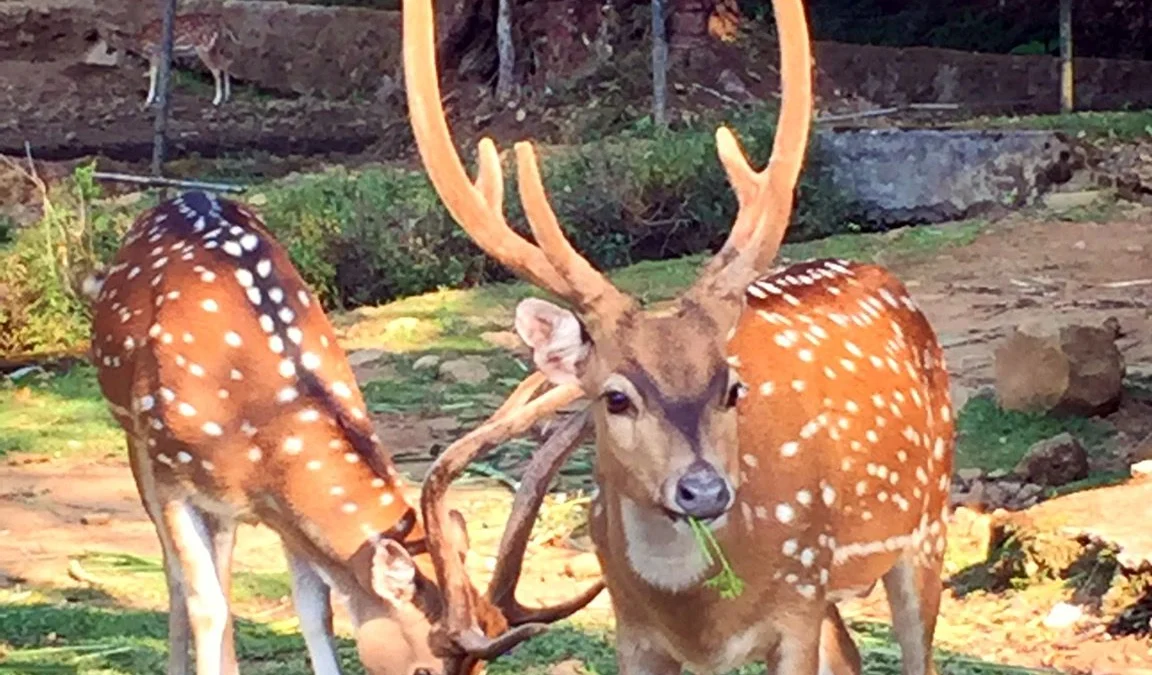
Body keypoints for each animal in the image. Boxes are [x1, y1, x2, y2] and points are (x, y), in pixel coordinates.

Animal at [83, 188, 603, 672]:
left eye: (479, 669)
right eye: (423, 668)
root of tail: (184, 193)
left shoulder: (284, 513)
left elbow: (316, 613)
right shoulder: (171, 477)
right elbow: (204, 604)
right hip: (136, 441)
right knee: (180, 573)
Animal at [405, 1, 953, 672]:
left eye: (733, 388)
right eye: (615, 397)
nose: (704, 489)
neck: (700, 617)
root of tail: (884, 277)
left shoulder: (797, 600)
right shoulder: (632, 626)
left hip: (926, 523)